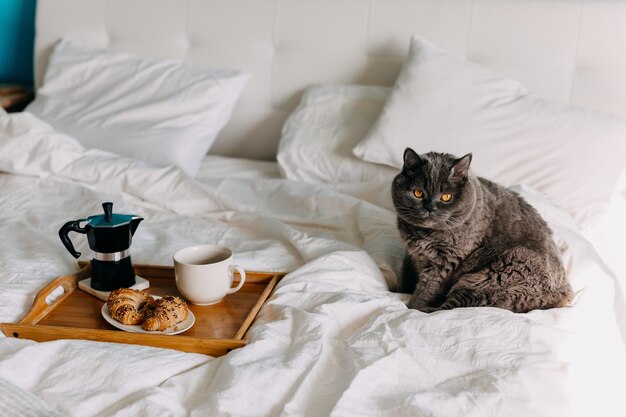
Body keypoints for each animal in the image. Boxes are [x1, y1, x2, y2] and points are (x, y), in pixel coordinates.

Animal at [392, 147, 572, 312]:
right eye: (418, 193)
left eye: (446, 197)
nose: (430, 208)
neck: (422, 233)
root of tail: (563, 295)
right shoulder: (411, 254)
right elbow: (406, 274)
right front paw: (398, 291)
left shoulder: (444, 262)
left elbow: (427, 288)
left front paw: (413, 308)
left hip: (490, 277)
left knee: (451, 307)